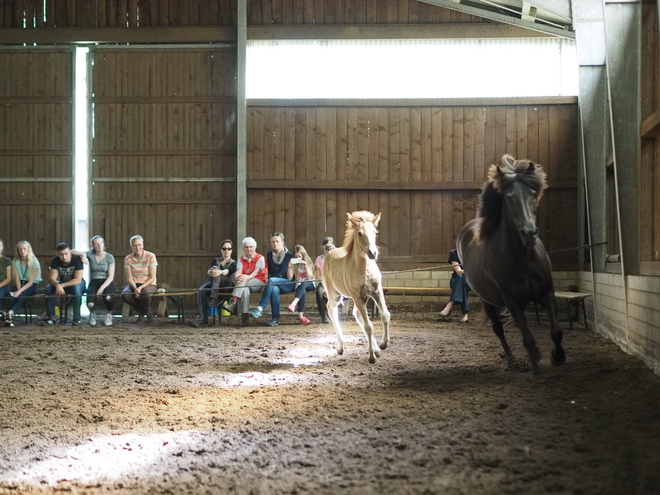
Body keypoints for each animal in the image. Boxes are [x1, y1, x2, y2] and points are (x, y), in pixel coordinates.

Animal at [320, 210, 390, 364]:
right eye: (359, 233)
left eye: (375, 232)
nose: (372, 253)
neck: (364, 269)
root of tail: (330, 252)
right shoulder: (357, 296)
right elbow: (369, 326)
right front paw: (371, 356)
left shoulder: (376, 292)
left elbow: (385, 315)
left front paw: (383, 345)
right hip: (336, 295)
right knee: (331, 308)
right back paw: (340, 346)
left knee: (356, 314)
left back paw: (377, 349)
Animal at [456, 155, 564, 376]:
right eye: (509, 197)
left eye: (533, 194)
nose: (529, 233)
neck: (523, 259)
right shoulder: (512, 301)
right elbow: (528, 338)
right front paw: (537, 370)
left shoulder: (547, 293)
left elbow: (556, 331)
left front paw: (557, 357)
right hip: (487, 301)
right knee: (498, 329)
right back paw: (512, 359)